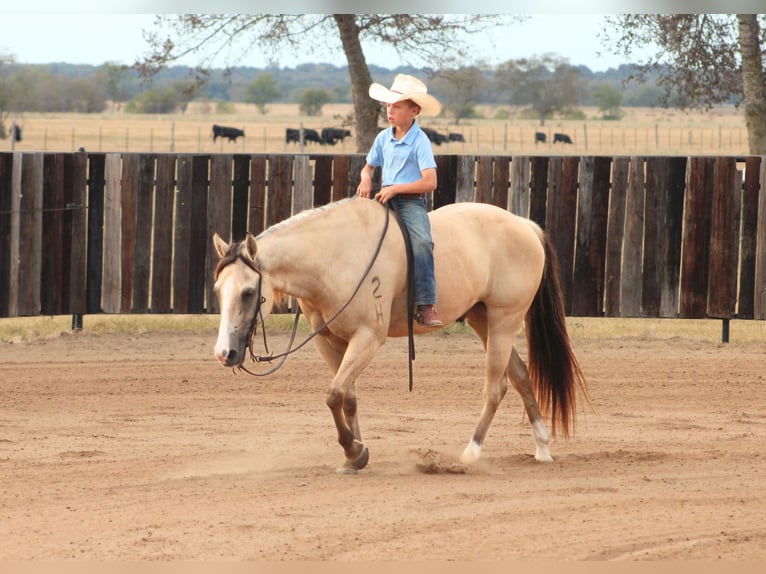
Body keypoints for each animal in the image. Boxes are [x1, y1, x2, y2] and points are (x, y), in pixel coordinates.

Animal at [212, 196, 587, 474]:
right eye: (218, 289)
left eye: (248, 292)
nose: (224, 353)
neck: (334, 256)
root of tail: (525, 226)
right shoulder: (329, 341)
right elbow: (347, 397)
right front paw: (355, 456)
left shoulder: (368, 338)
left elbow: (334, 394)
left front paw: (354, 450)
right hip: (484, 320)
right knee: (521, 376)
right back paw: (542, 447)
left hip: (504, 319)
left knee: (497, 387)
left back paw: (470, 454)